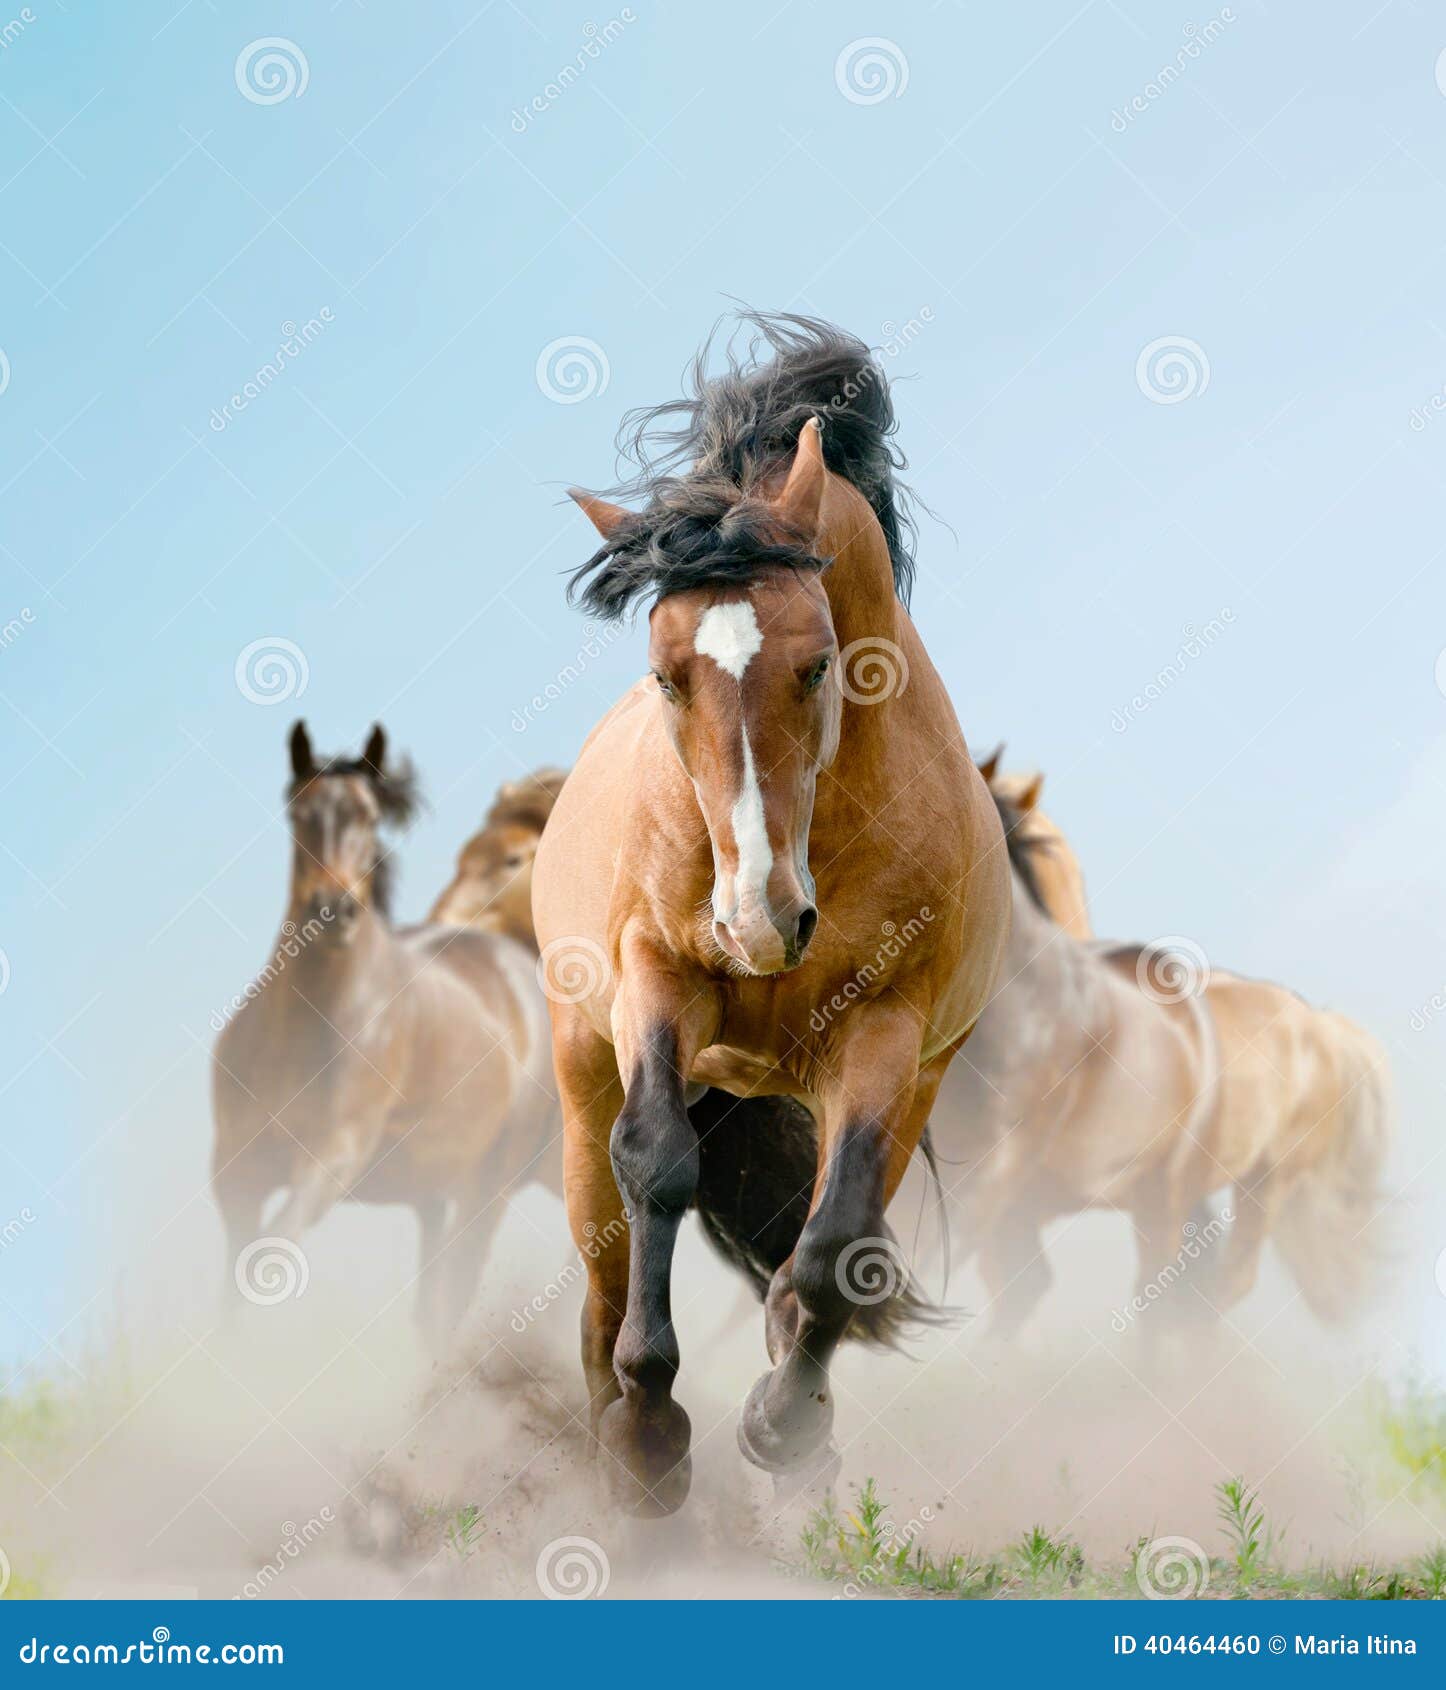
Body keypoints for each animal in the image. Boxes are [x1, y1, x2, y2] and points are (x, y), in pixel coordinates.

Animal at [210, 723, 560, 1342]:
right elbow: (236, 1282)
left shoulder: (332, 1158)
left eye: (370, 817)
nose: (333, 910)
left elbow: (269, 1253)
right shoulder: (234, 1169)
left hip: (485, 1192)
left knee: (451, 1306)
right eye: (300, 812)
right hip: (434, 1195)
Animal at [530, 311, 1012, 1516]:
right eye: (665, 676)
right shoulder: (656, 980)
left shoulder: (886, 1029)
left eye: (819, 663)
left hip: (902, 1086)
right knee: (602, 1269)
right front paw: (652, 1433)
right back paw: (614, 1450)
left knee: (825, 1255)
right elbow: (658, 1162)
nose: (757, 920)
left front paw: (783, 1426)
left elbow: (837, 1243)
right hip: (581, 1071)